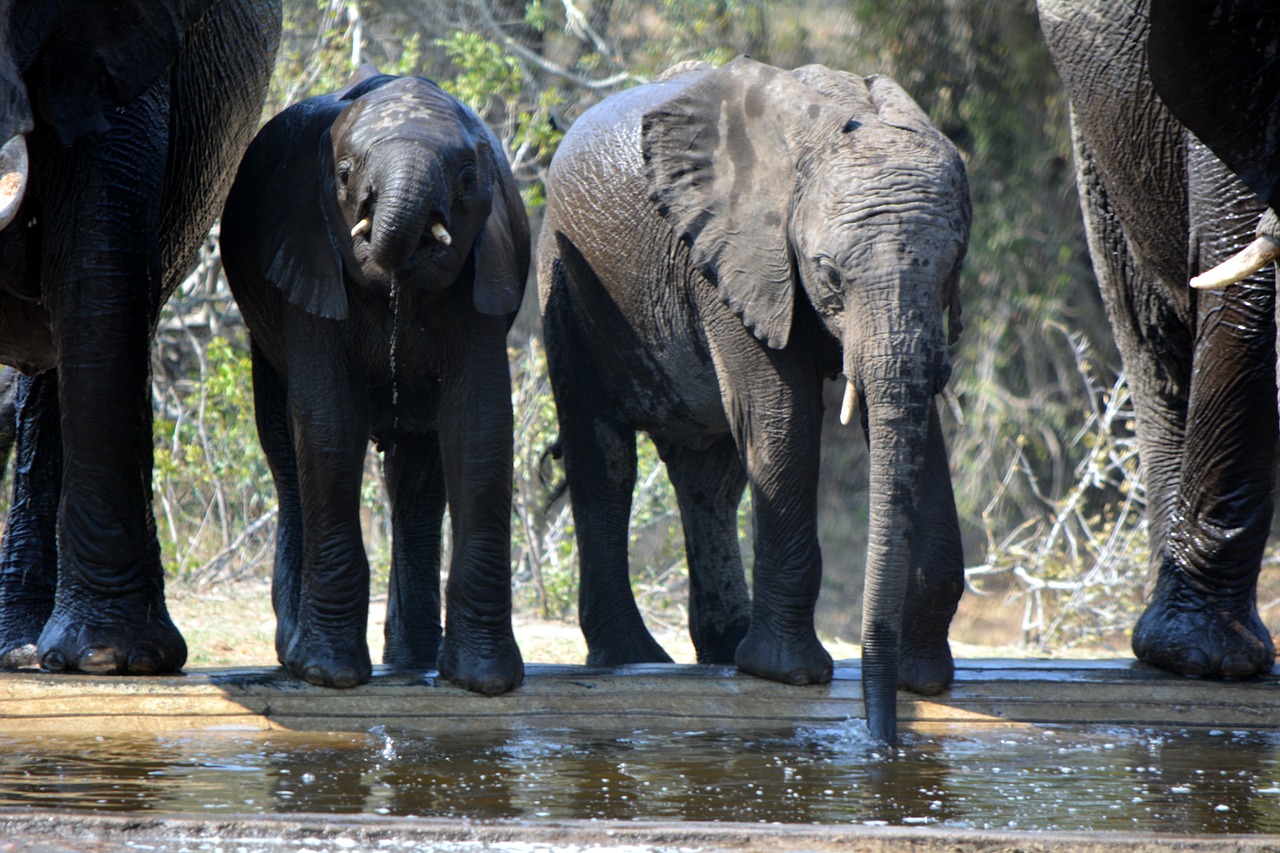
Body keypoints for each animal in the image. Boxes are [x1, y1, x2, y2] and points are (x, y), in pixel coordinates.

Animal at [220, 68, 529, 691]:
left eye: (467, 179)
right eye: (343, 175)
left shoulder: (489, 269)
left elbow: (479, 426)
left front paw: (484, 683)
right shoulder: (307, 259)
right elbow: (328, 423)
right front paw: (328, 675)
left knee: (416, 476)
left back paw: (413, 663)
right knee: (285, 449)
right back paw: (298, 652)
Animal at [537, 56, 967, 742]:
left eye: (954, 267)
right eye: (828, 272)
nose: (882, 739)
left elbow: (911, 414)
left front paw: (922, 679)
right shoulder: (731, 260)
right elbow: (780, 414)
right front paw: (787, 674)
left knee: (711, 481)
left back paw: (723, 649)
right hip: (566, 277)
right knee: (604, 460)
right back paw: (635, 659)